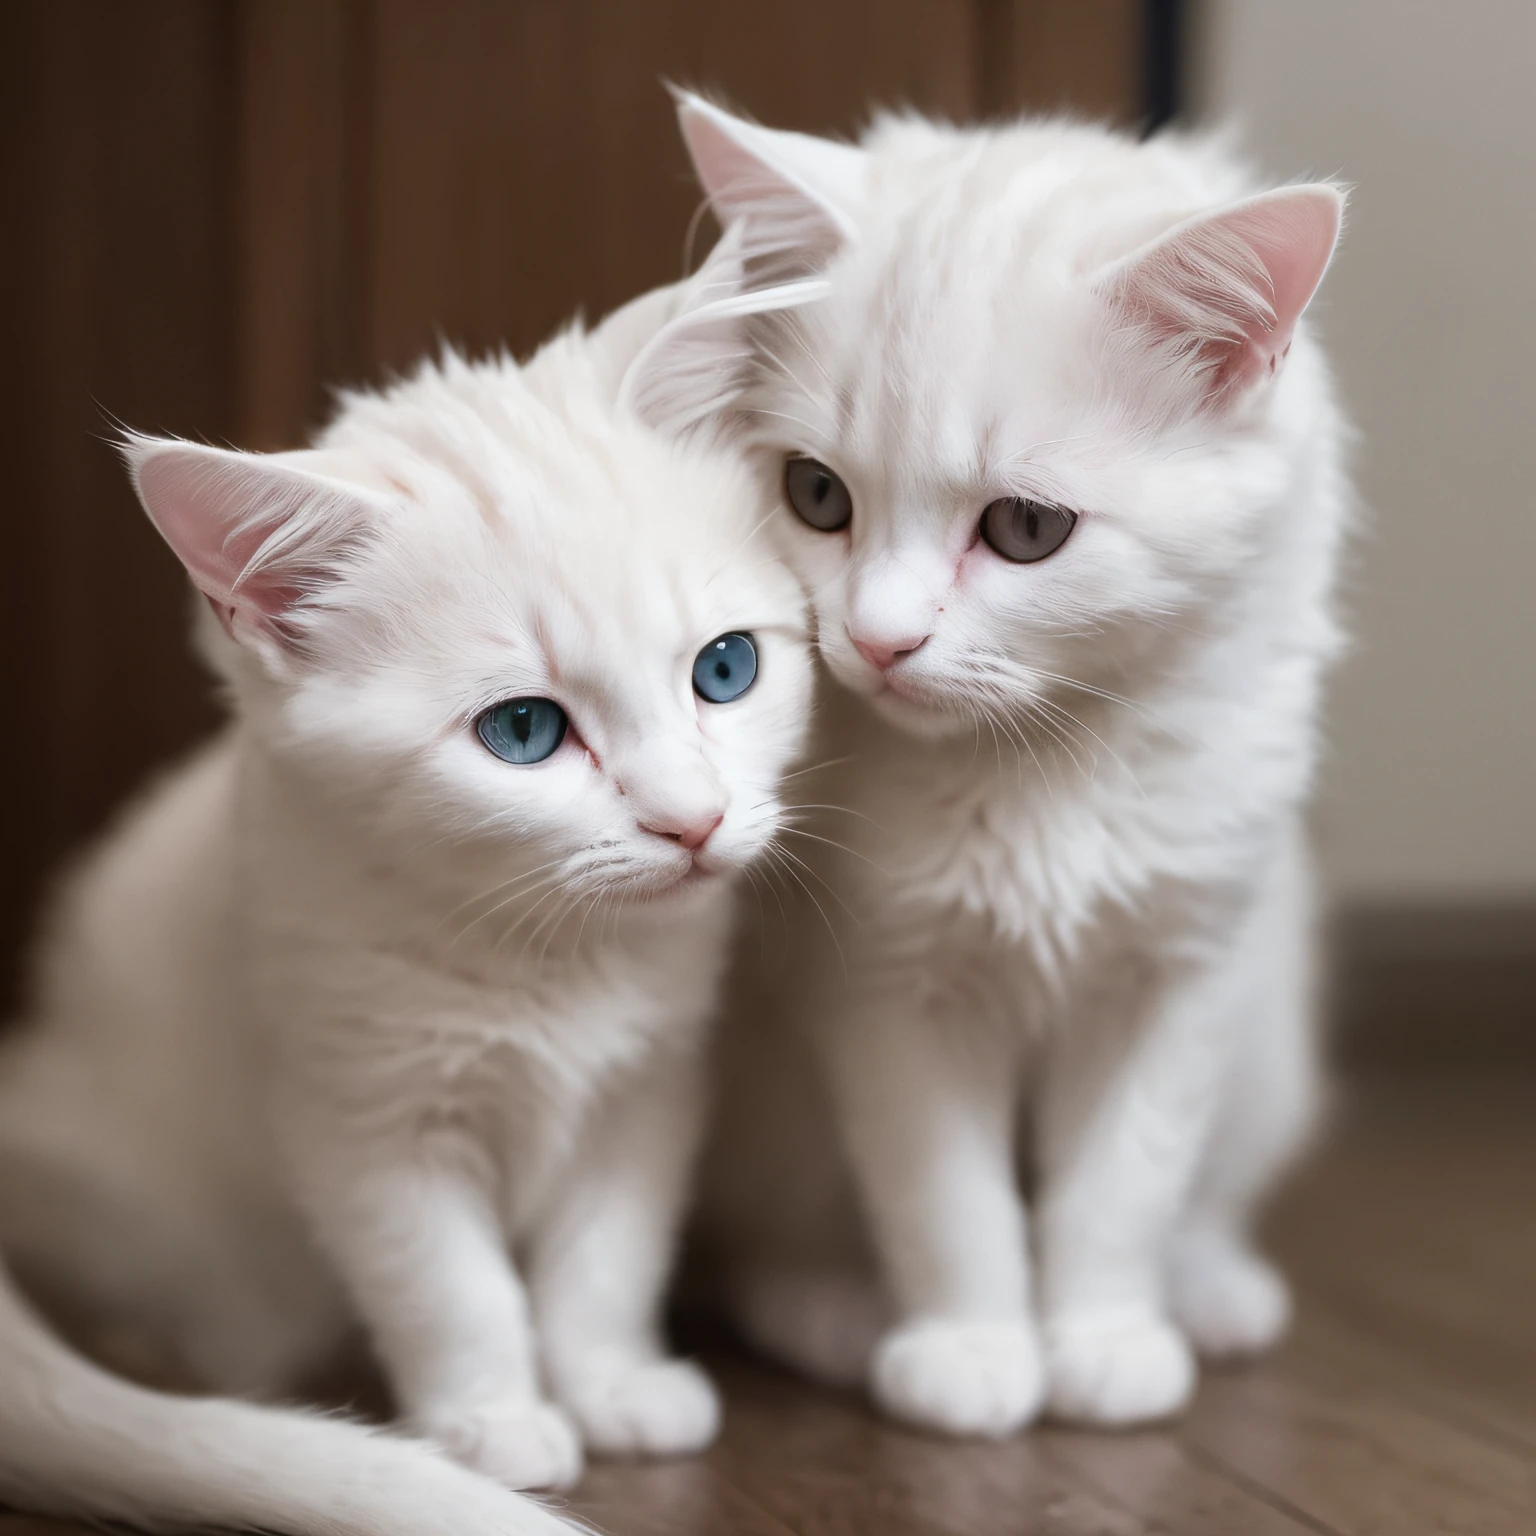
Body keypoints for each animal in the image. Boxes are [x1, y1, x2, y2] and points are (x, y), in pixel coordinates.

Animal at [0, 239, 817, 1536]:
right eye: (525, 731)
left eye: (726, 669)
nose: (692, 820)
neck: (547, 963)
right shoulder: (363, 1113)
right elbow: (448, 1282)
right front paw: (492, 1422)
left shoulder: (647, 1083)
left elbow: (607, 1254)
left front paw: (614, 1384)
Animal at [678, 102, 1351, 1431]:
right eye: (815, 495)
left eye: (1026, 530)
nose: (877, 639)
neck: (1042, 765)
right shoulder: (887, 981)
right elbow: (947, 1198)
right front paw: (974, 1350)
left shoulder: (1180, 974)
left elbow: (1125, 1184)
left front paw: (1104, 1341)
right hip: (767, 1093)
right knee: (770, 1236)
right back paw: (833, 1309)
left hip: (1266, 1053)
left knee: (1206, 1196)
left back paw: (1209, 1291)